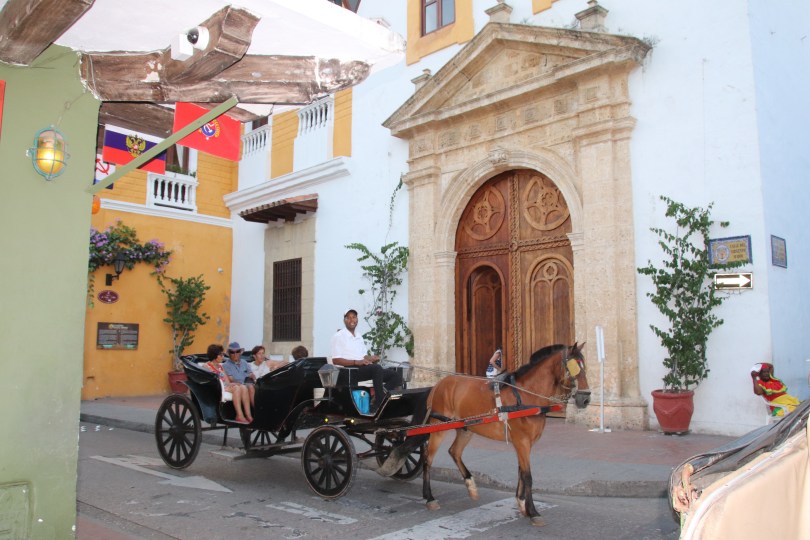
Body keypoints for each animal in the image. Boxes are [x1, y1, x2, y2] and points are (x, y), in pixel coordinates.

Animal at [379, 342, 590, 526]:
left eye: (585, 366)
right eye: (574, 367)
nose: (586, 398)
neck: (526, 395)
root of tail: (437, 385)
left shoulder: (524, 443)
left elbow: (521, 472)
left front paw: (522, 504)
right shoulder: (522, 441)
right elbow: (528, 476)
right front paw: (533, 511)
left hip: (466, 428)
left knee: (454, 452)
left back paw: (470, 485)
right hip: (438, 427)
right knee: (427, 460)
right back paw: (429, 497)